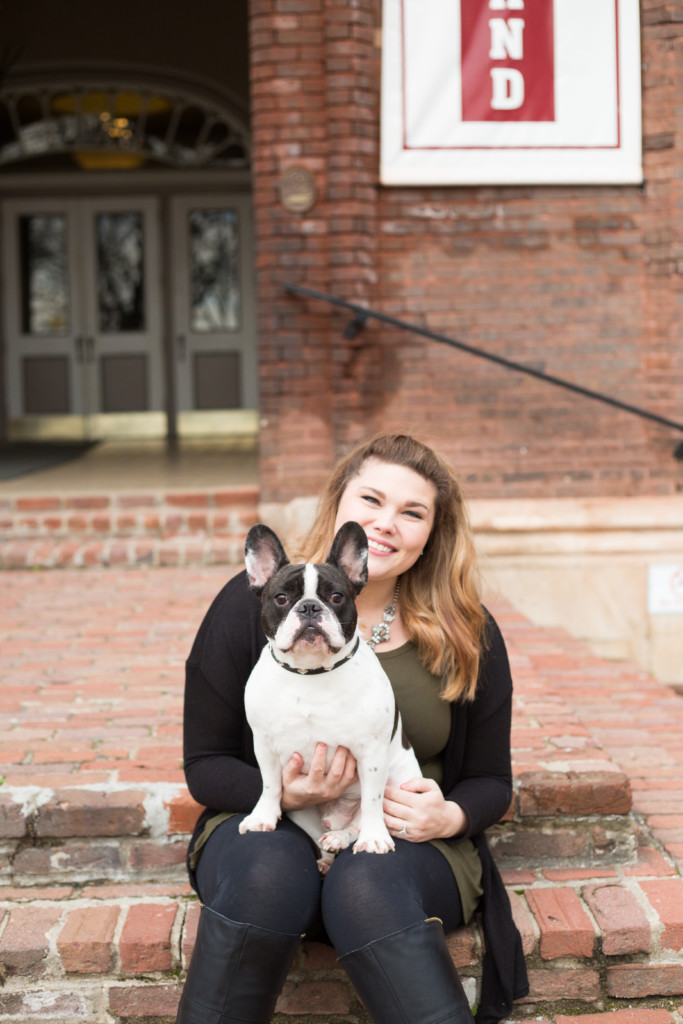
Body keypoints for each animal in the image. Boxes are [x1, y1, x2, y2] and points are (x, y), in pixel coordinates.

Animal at [240, 524, 421, 868]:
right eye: (281, 598)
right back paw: (326, 854)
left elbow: (372, 800)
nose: (310, 607)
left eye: (336, 597)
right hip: (303, 811)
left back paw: (344, 837)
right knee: (319, 831)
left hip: (398, 781)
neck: (311, 672)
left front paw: (374, 839)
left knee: (359, 819)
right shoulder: (264, 744)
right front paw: (262, 817)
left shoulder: (372, 752)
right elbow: (270, 784)